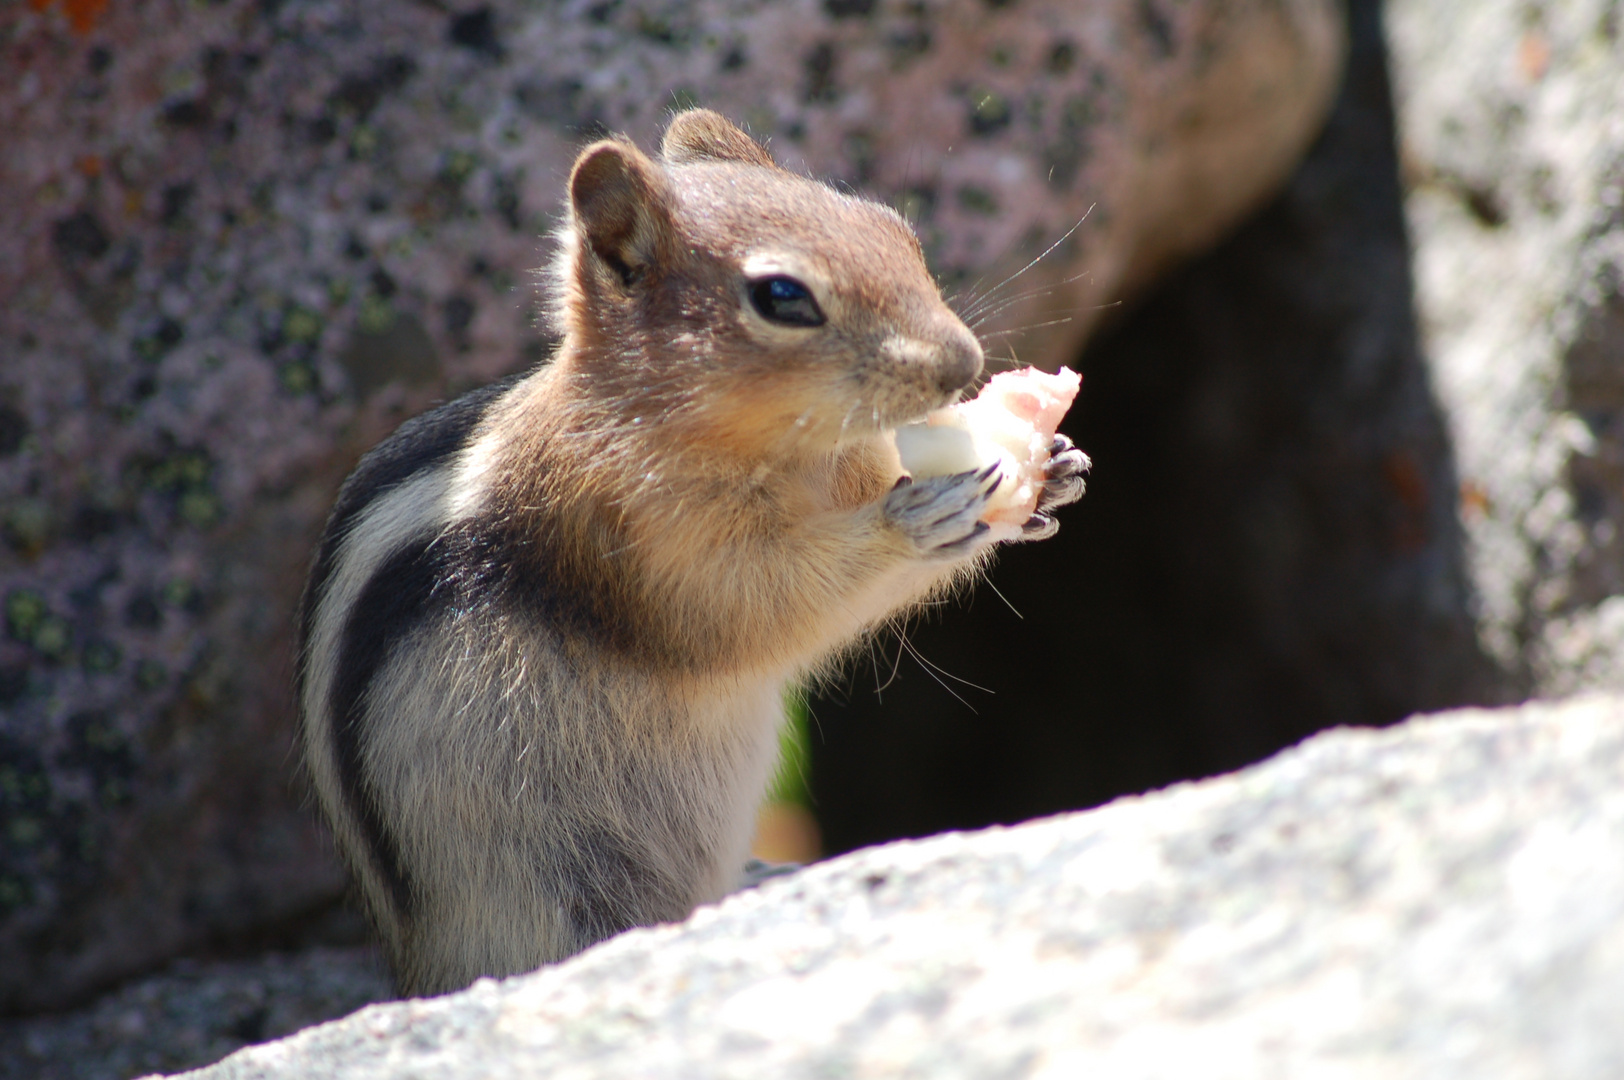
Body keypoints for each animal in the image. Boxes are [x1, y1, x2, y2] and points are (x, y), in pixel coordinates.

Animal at [298, 109, 1084, 993]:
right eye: (783, 297)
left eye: (898, 230)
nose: (967, 366)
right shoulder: (632, 536)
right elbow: (756, 606)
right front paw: (914, 521)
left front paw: (1049, 469)